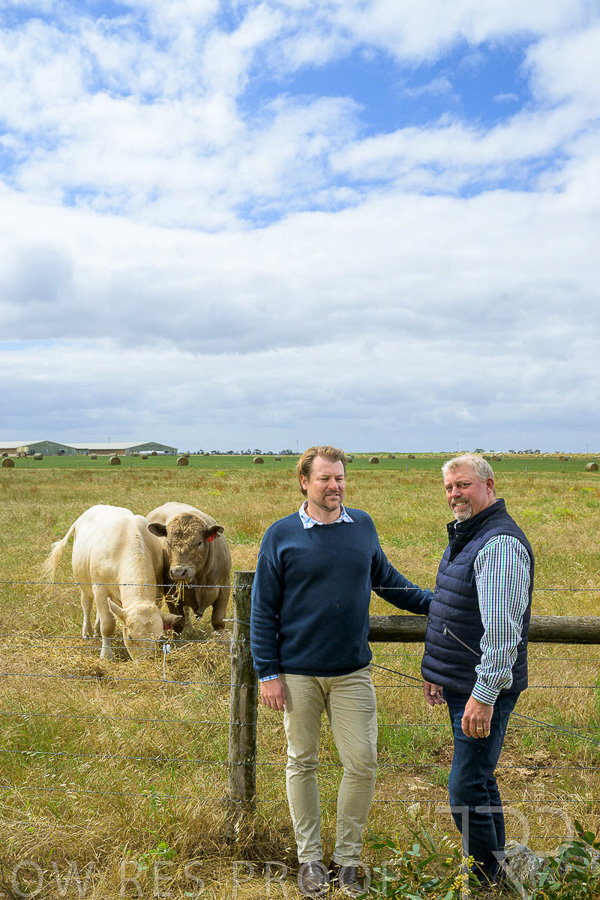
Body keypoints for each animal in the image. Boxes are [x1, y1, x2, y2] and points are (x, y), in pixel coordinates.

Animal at [43, 505, 181, 660]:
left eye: (158, 639)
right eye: (131, 637)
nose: (144, 662)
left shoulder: (157, 592)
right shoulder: (100, 588)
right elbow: (108, 624)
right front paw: (106, 655)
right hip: (84, 583)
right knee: (87, 604)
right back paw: (87, 632)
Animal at [146, 502, 231, 633]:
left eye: (199, 542)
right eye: (168, 543)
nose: (178, 572)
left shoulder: (224, 588)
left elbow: (218, 621)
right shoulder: (171, 593)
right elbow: (178, 623)